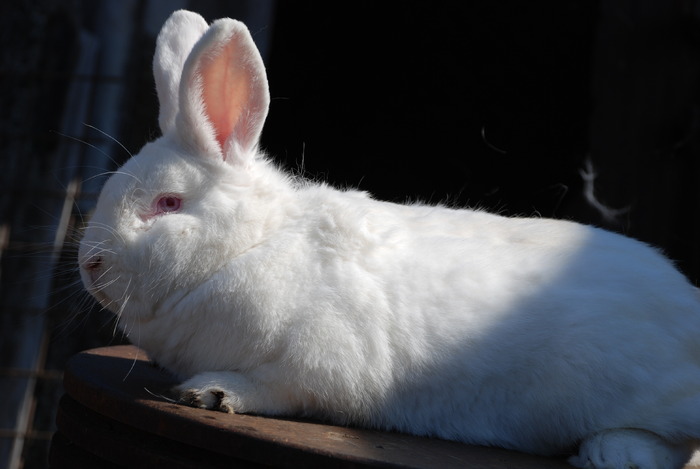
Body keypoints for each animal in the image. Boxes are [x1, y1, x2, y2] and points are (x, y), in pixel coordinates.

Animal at [79, 11, 700, 468]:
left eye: (168, 204)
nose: (91, 265)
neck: (248, 246)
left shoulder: (317, 364)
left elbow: (278, 389)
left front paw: (213, 391)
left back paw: (613, 453)